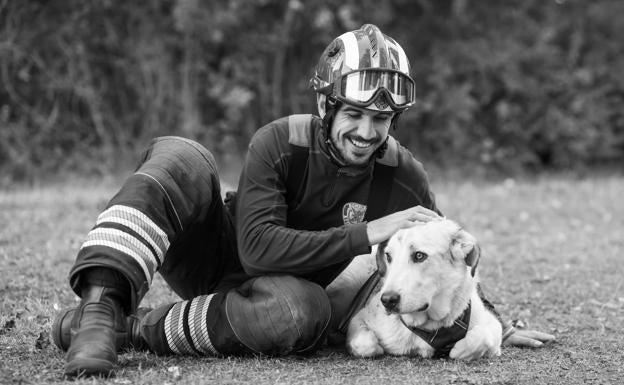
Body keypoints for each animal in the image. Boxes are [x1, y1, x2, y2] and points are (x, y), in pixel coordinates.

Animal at [336, 220, 502, 358]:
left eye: (419, 255)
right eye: (388, 256)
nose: (387, 300)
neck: (430, 327)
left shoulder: (491, 322)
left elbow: (481, 337)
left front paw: (460, 350)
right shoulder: (358, 318)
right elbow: (365, 344)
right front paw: (377, 348)